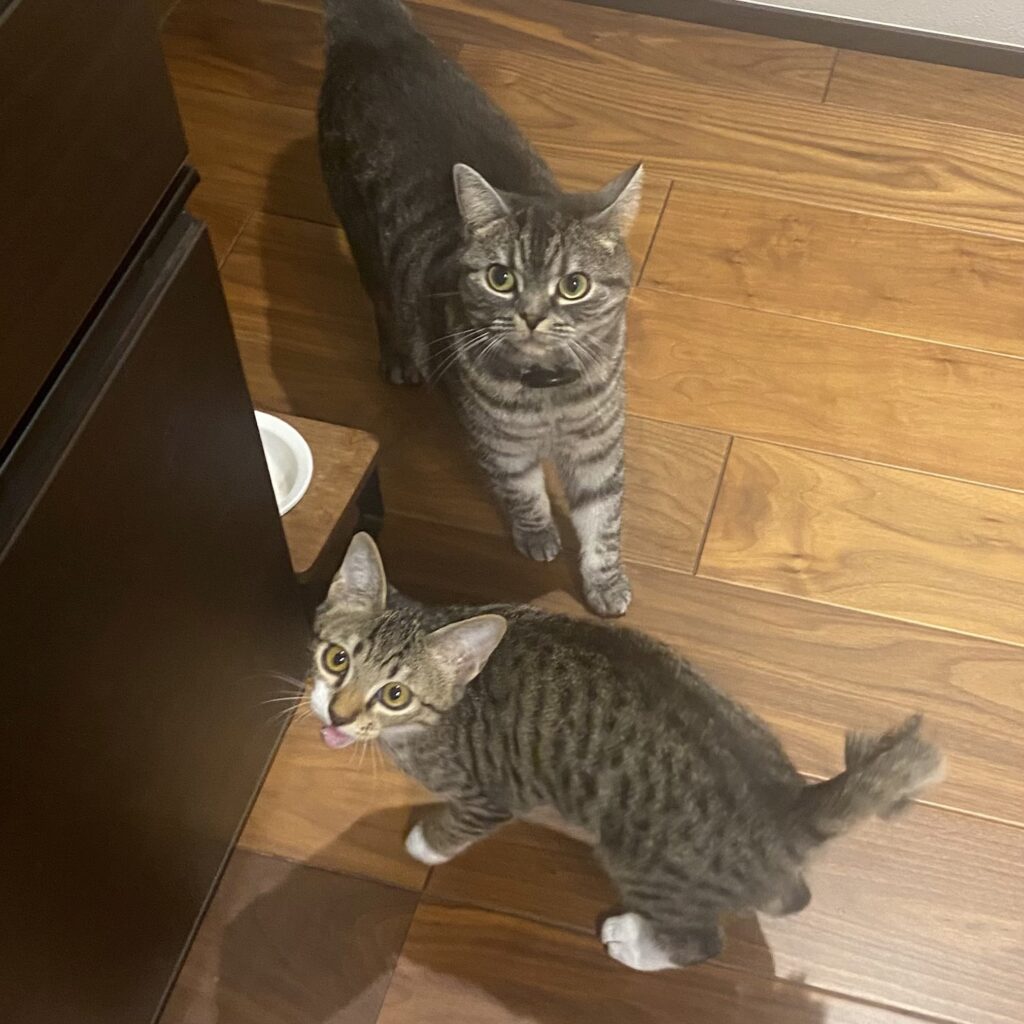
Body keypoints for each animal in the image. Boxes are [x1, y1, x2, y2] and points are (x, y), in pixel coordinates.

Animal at [309, 534, 946, 972]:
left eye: (395, 694)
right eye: (336, 659)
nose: (337, 714)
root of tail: (786, 801)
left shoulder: (495, 794)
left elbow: (460, 823)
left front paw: (425, 842)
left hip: (643, 862)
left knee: (703, 941)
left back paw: (636, 943)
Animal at [318, 0, 644, 617]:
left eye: (573, 285)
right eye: (501, 278)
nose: (533, 314)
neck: (549, 394)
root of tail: (374, 29)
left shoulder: (597, 447)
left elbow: (604, 519)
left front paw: (606, 583)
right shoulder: (504, 449)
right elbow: (523, 495)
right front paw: (537, 536)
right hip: (360, 235)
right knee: (380, 302)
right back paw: (400, 358)